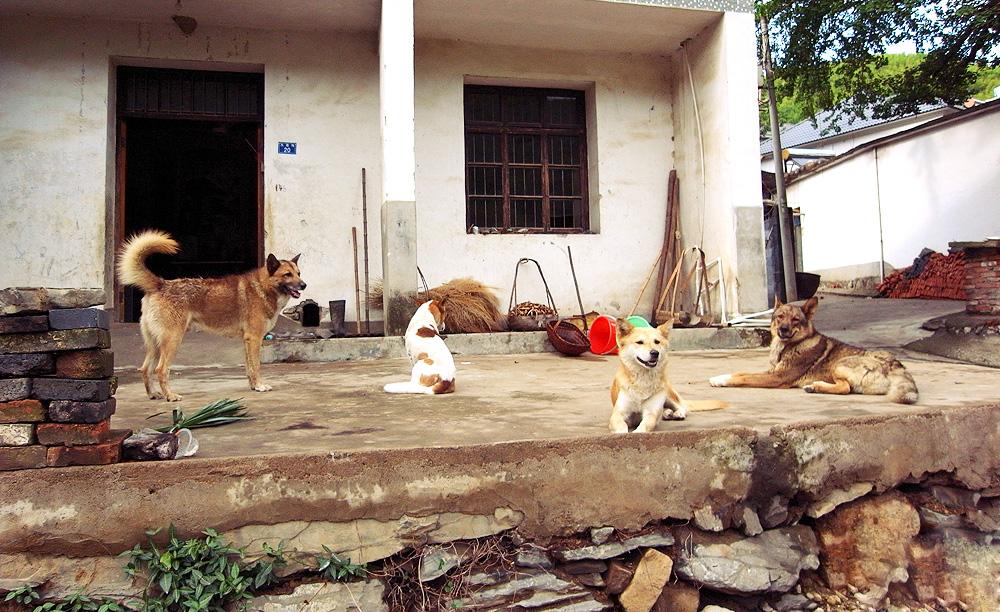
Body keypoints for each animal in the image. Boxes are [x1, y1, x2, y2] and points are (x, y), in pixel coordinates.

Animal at [708, 296, 916, 404]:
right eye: (780, 316)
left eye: (795, 320)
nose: (783, 329)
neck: (787, 346)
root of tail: (895, 364)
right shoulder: (771, 372)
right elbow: (741, 372)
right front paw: (720, 376)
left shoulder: (776, 378)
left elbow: (743, 377)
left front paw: (721, 381)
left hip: (839, 365)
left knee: (845, 388)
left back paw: (815, 386)